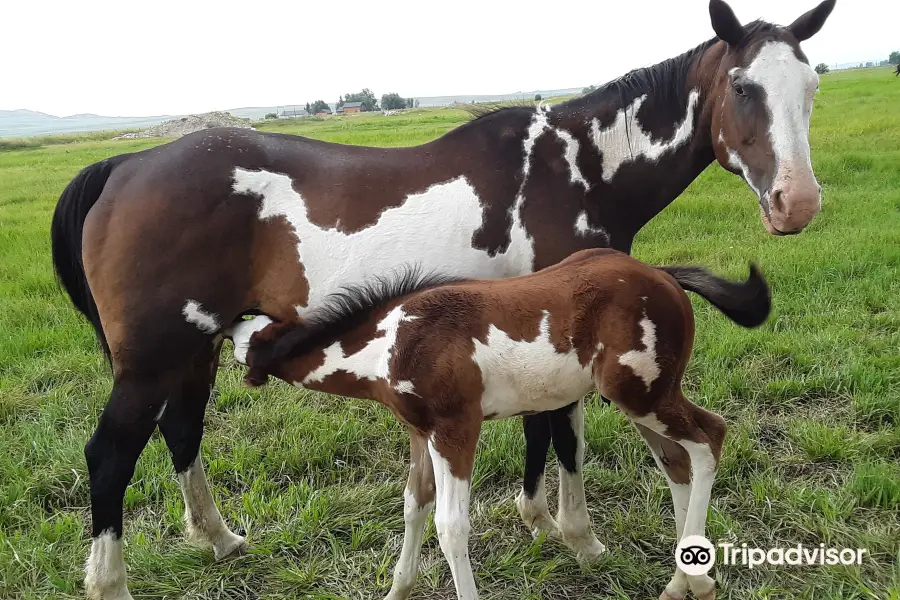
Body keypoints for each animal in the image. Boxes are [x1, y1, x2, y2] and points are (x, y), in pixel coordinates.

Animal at [229, 248, 768, 600]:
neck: (393, 343)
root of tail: (662, 274)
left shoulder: (455, 430)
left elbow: (450, 527)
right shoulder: (420, 433)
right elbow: (413, 504)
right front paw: (398, 590)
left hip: (643, 394)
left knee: (708, 439)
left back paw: (688, 582)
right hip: (646, 400)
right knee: (677, 464)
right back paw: (688, 579)